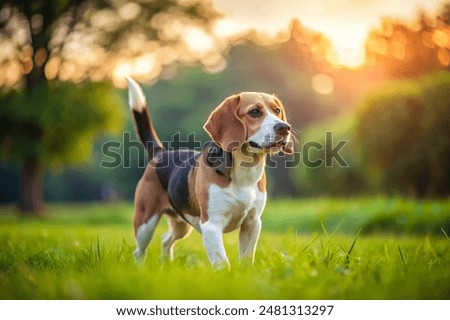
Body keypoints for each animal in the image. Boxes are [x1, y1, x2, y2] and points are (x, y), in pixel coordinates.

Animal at [126, 77, 292, 268]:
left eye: (277, 111)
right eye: (255, 112)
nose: (284, 128)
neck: (245, 171)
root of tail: (160, 153)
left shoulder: (252, 222)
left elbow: (247, 257)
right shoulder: (211, 224)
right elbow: (222, 261)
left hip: (182, 224)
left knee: (166, 240)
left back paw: (167, 263)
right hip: (145, 223)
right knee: (139, 250)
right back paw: (140, 268)